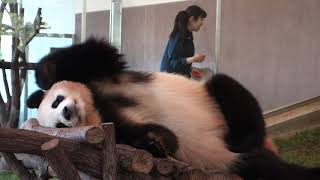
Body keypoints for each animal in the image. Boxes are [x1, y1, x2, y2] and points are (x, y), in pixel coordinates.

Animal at [31, 38, 320, 179]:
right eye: (58, 125)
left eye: (57, 101)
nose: (67, 114)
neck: (97, 106)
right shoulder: (114, 128)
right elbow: (141, 136)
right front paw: (157, 142)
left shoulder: (105, 76)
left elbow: (94, 54)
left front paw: (44, 76)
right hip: (239, 164)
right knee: (272, 170)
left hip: (213, 100)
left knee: (228, 90)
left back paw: (243, 137)